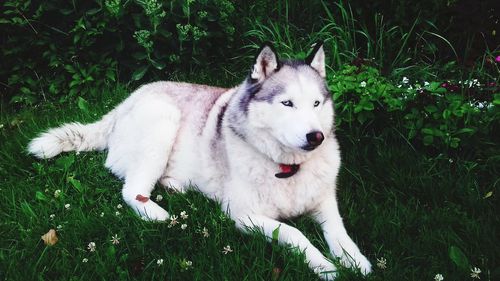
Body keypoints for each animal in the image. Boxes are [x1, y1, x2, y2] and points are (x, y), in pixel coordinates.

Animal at [27, 41, 372, 278]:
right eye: (287, 103)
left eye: (316, 103)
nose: (317, 137)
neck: (286, 168)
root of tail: (125, 102)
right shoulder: (243, 216)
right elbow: (295, 233)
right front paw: (325, 266)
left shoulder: (324, 202)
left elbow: (340, 233)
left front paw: (355, 260)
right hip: (163, 121)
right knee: (131, 190)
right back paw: (158, 214)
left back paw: (176, 187)